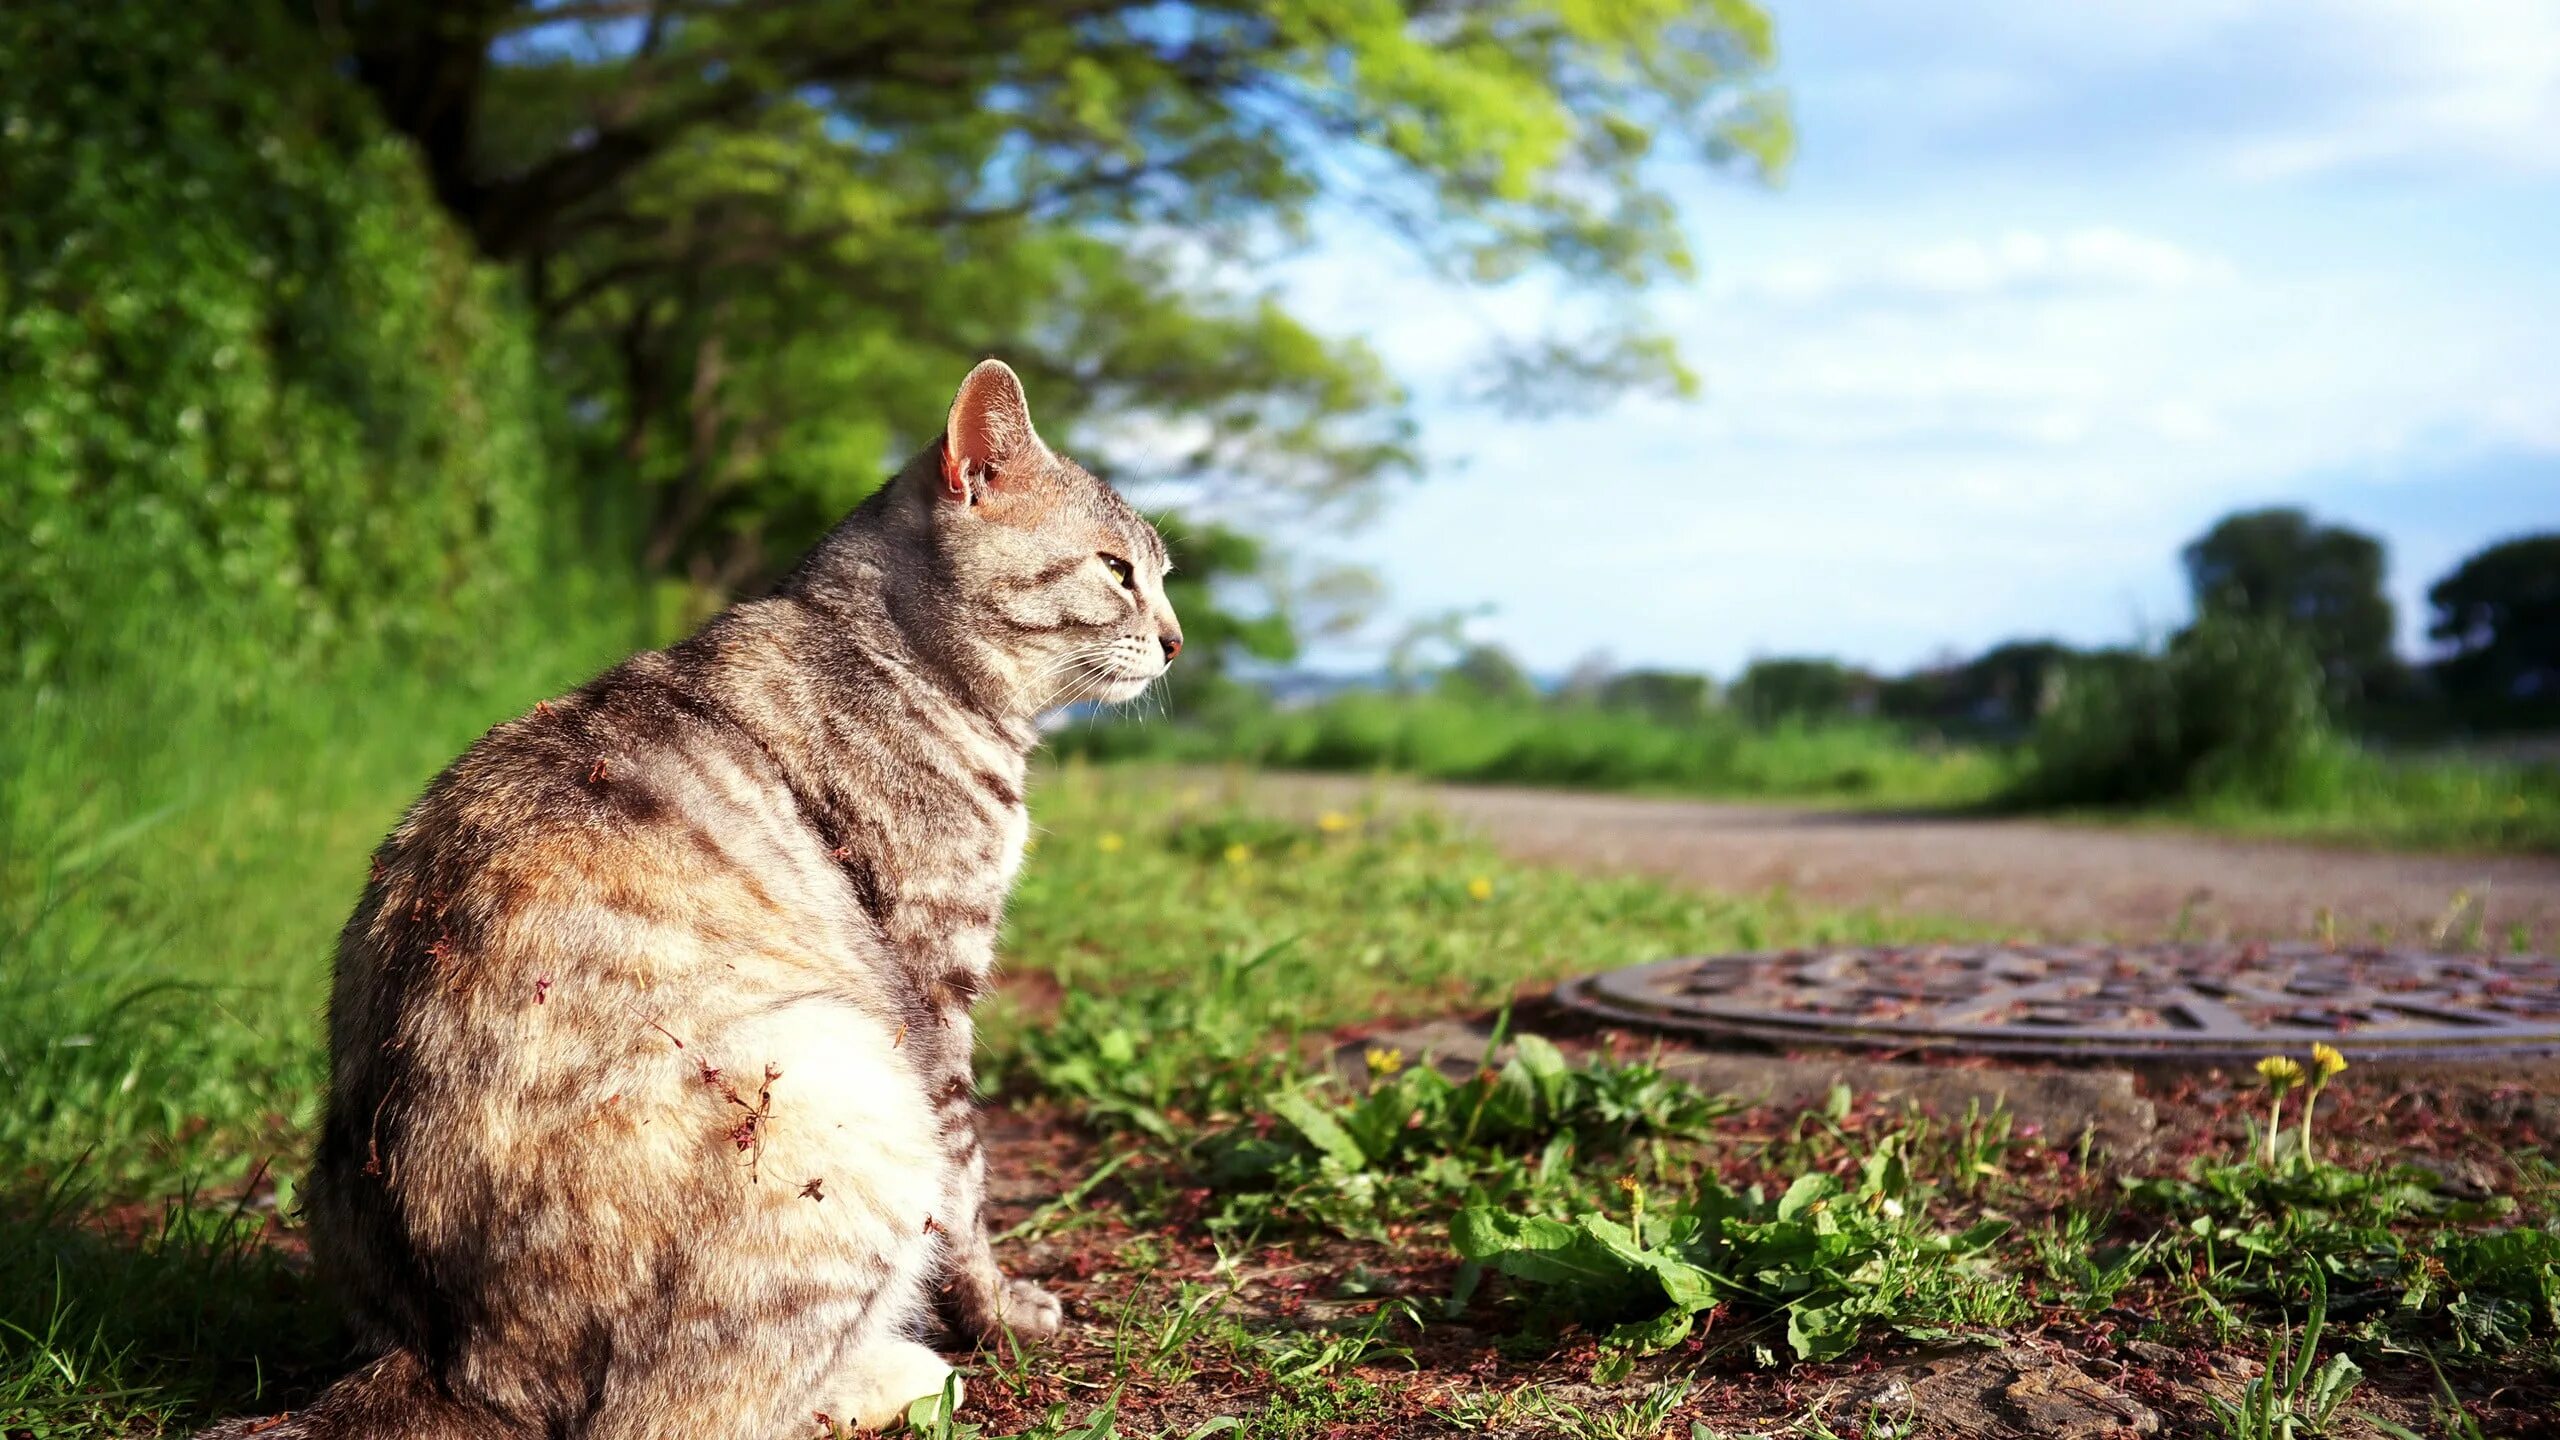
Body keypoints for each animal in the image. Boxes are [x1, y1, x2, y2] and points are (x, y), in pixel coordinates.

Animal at [199, 361, 1177, 1434]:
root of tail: (445, 1361)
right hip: (844, 1072)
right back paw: (900, 1372)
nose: (1177, 641)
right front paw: (998, 1311)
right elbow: (966, 1186)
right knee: (698, 1408)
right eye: (1119, 570)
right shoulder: (933, 985)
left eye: (1162, 574)